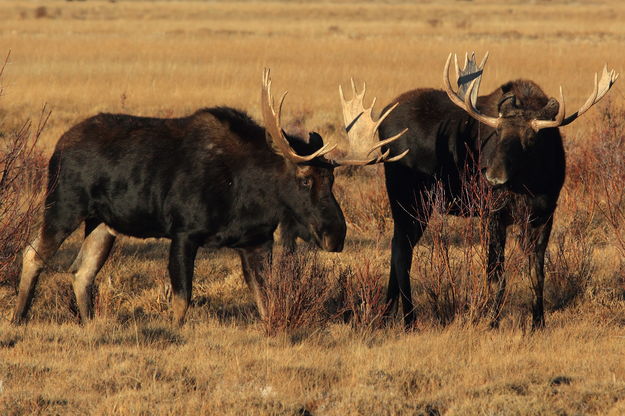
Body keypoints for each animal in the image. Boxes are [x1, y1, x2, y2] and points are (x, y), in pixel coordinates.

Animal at [13, 68, 410, 324]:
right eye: (303, 179)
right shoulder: (184, 233)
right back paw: (19, 318)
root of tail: (58, 147)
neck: (249, 195)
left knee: (81, 271)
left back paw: (89, 324)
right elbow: (181, 301)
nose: (335, 235)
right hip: (64, 204)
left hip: (104, 223)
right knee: (33, 253)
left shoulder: (256, 242)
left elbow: (266, 303)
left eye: (332, 180)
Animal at [378, 52, 616, 328]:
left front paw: (538, 322)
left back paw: (386, 315)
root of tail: (380, 123)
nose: (492, 177)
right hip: (408, 198)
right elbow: (496, 275)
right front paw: (492, 320)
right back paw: (409, 319)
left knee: (398, 246)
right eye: (498, 133)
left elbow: (537, 273)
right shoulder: (493, 215)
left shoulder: (544, 215)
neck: (530, 184)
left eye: (531, 139)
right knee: (402, 251)